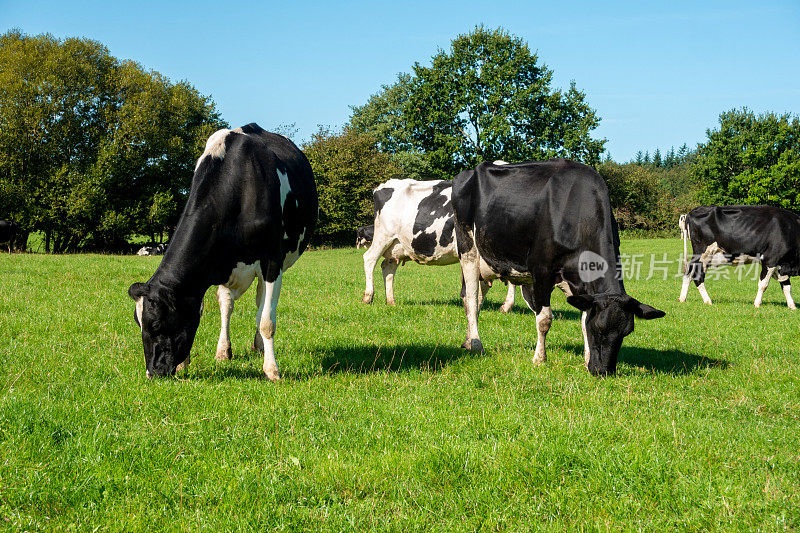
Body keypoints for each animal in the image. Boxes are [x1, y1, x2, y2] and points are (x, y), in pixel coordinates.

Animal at [126, 125, 318, 380]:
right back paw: (224, 350)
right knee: (227, 304)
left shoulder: (272, 261)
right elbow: (207, 307)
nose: (153, 372)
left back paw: (259, 347)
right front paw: (185, 363)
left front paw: (272, 370)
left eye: (156, 325)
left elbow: (267, 321)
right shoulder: (209, 268)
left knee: (260, 305)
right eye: (140, 325)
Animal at [362, 179, 520, 312]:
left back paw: (391, 301)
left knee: (388, 267)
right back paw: (368, 297)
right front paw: (502, 306)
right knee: (369, 259)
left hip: (397, 245)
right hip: (383, 236)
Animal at [454, 158, 664, 374]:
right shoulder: (541, 271)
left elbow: (583, 319)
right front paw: (539, 359)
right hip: (468, 250)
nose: (603, 371)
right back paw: (476, 343)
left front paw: (586, 359)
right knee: (471, 299)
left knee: (477, 298)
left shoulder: (581, 284)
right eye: (598, 328)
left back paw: (468, 341)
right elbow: (544, 319)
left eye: (626, 332)